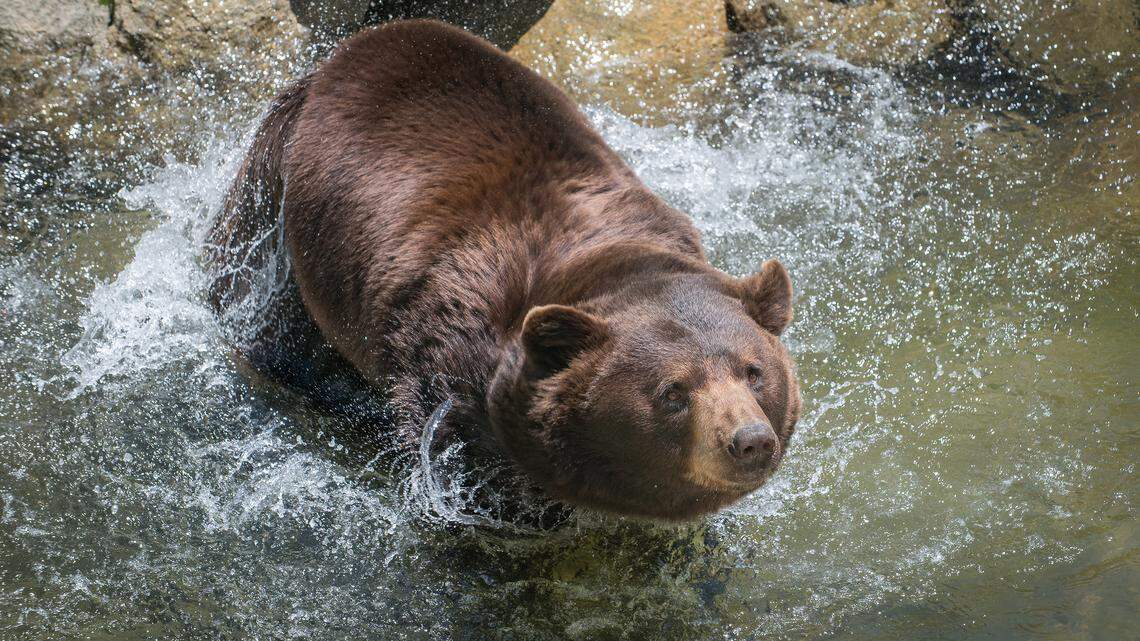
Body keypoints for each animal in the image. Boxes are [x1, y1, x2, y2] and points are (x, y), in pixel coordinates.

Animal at [206, 20, 800, 520]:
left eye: (753, 371)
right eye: (673, 392)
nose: (749, 440)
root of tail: (339, 56)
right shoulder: (452, 334)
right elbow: (452, 443)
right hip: (278, 211)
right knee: (261, 307)